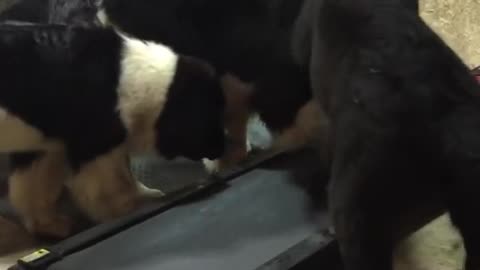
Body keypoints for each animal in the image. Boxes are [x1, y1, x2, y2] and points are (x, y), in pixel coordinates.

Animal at [0, 23, 225, 238]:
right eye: (209, 116)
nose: (222, 150)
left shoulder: (46, 145)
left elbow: (32, 186)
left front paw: (48, 225)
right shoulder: (97, 146)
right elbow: (110, 184)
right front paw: (130, 207)